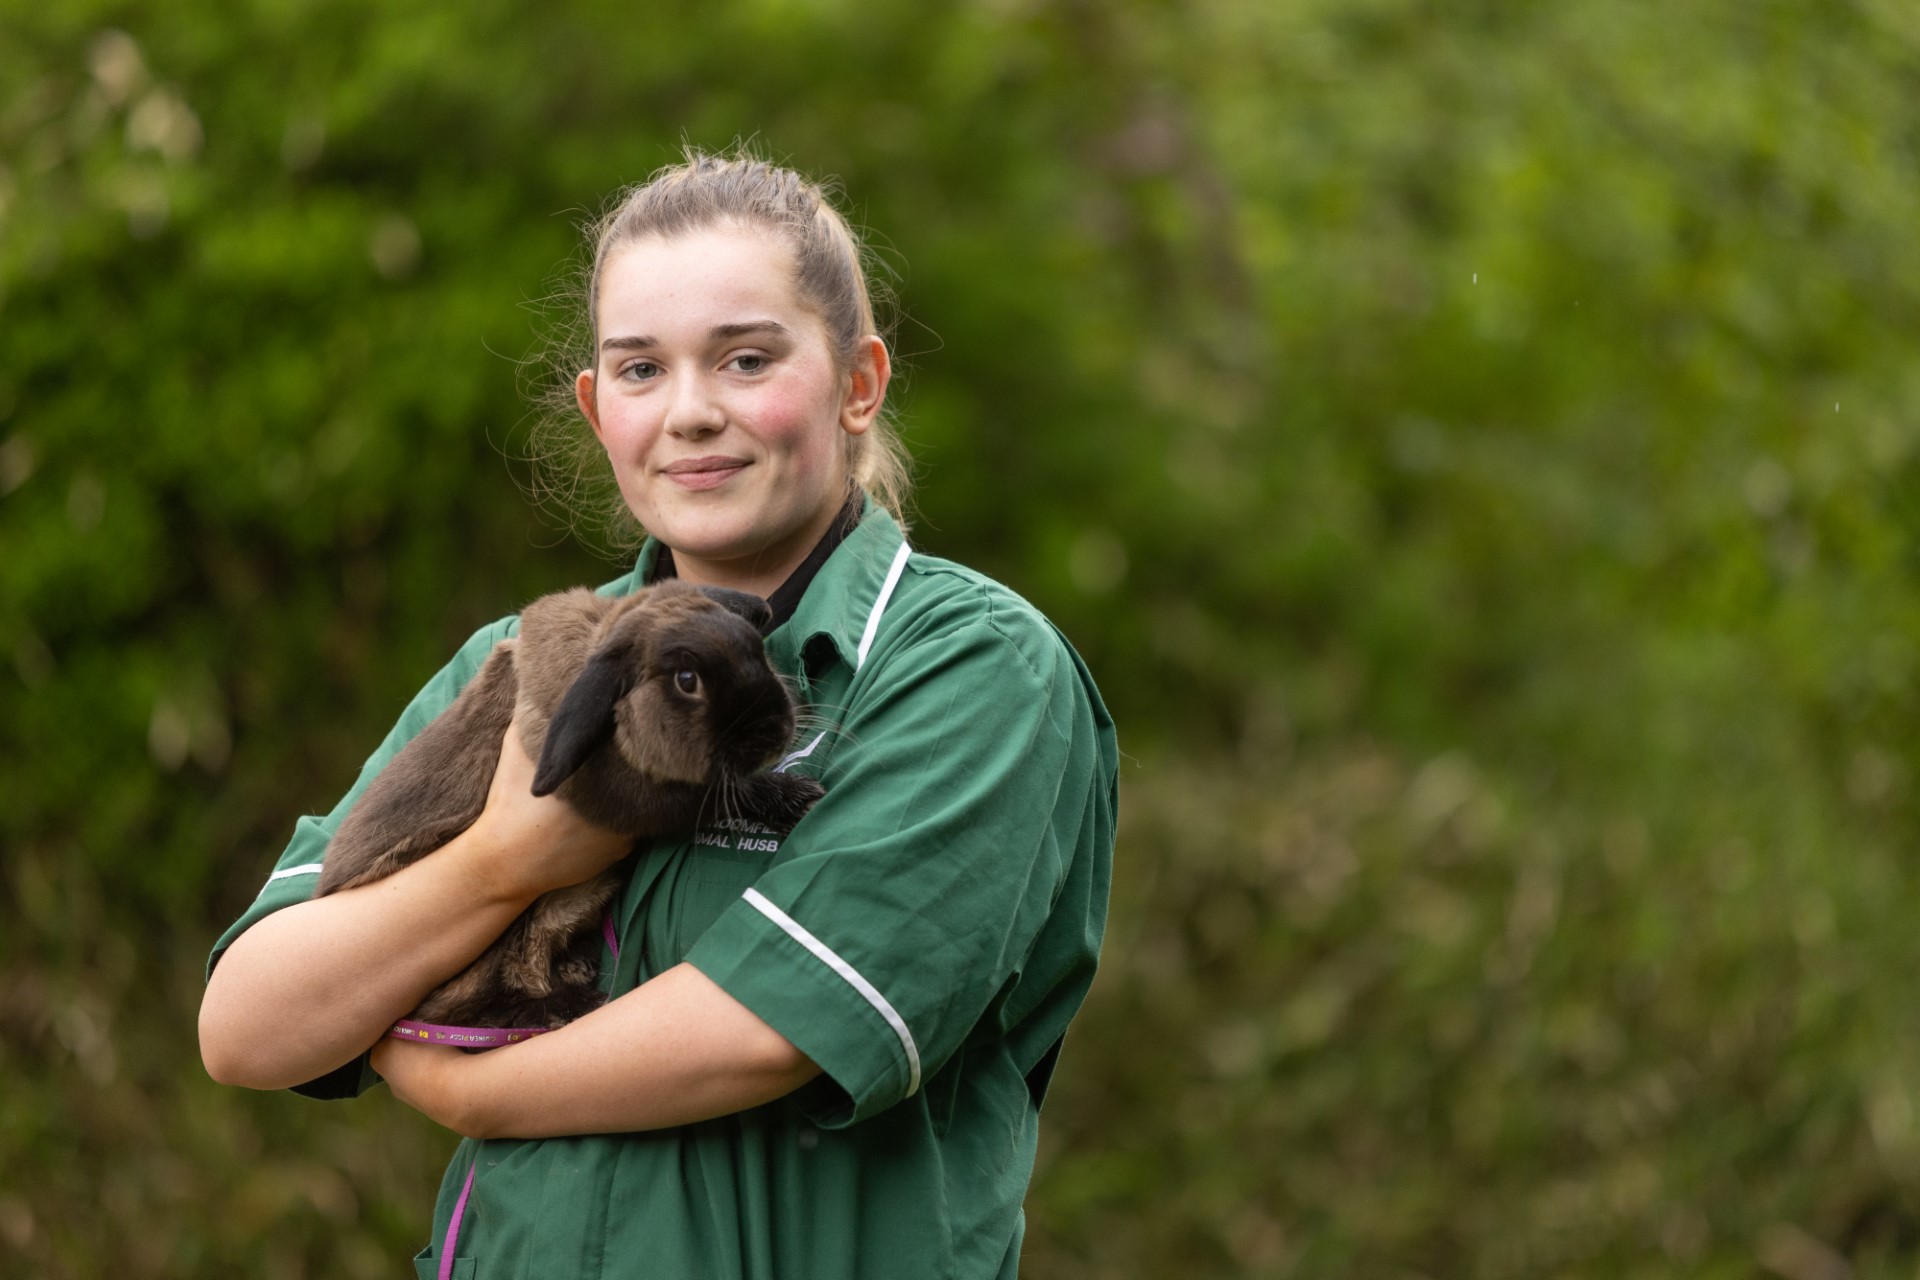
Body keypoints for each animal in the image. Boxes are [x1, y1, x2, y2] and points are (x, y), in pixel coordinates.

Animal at [316, 587, 825, 1036]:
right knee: (476, 1006)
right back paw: (570, 1003)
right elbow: (724, 792)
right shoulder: (644, 797)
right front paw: (794, 797)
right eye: (687, 681)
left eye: (755, 648)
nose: (777, 729)